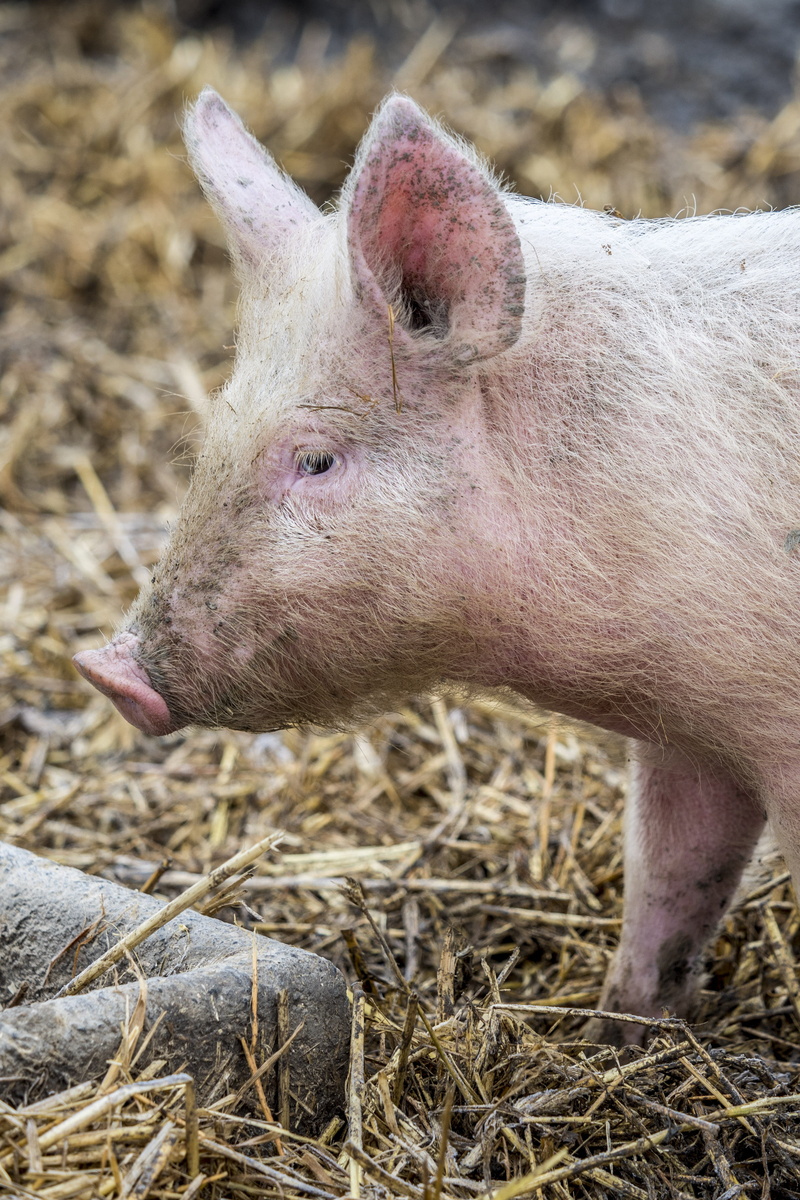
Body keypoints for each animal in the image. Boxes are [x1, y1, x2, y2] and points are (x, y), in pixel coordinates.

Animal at [74, 88, 800, 1045]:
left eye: (316, 460)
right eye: (216, 427)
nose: (105, 668)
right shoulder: (693, 728)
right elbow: (670, 881)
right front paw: (614, 1035)